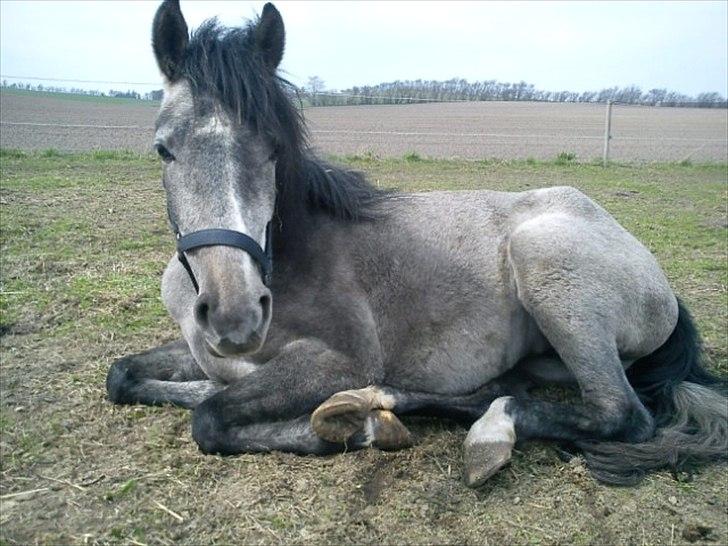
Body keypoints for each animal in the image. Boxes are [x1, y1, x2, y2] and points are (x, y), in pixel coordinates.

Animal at [105, 0, 724, 484]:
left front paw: (351, 433)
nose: (236, 317)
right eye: (163, 148)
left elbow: (209, 417)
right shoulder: (201, 353)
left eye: (274, 149)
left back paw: (471, 428)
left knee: (621, 414)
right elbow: (128, 376)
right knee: (495, 390)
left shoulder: (339, 361)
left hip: (548, 265)